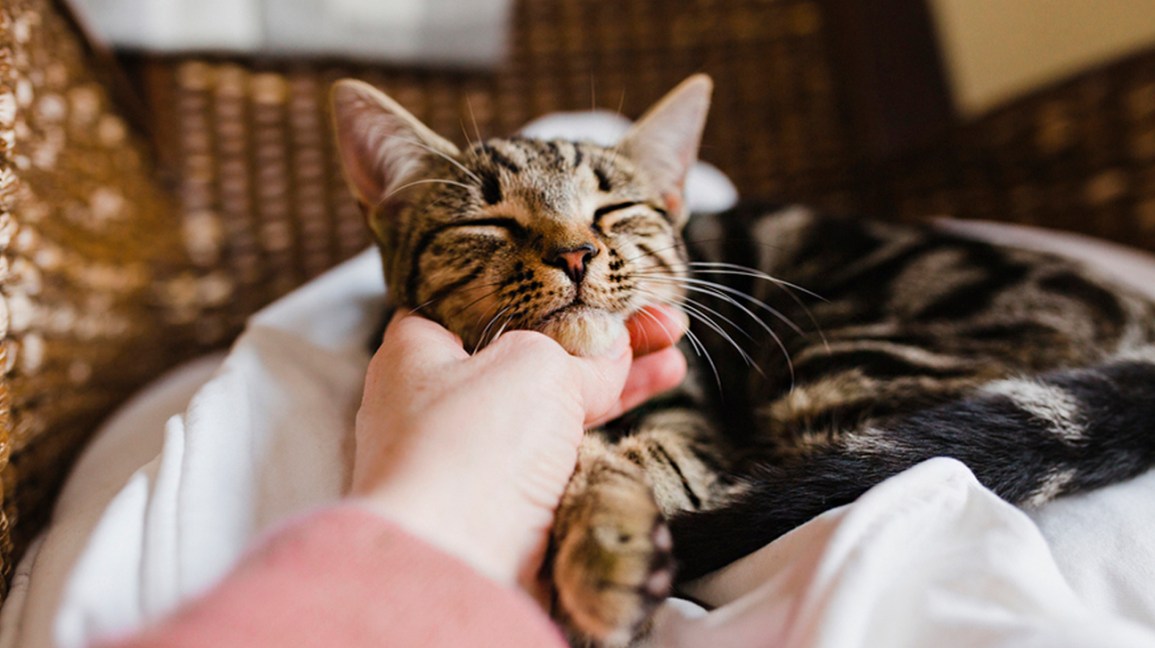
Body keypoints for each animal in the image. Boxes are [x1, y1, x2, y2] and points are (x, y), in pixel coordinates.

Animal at [330, 73, 1155, 642]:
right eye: (489, 221)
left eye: (612, 212)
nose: (575, 252)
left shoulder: (698, 428)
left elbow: (635, 465)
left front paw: (609, 554)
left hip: (839, 371)